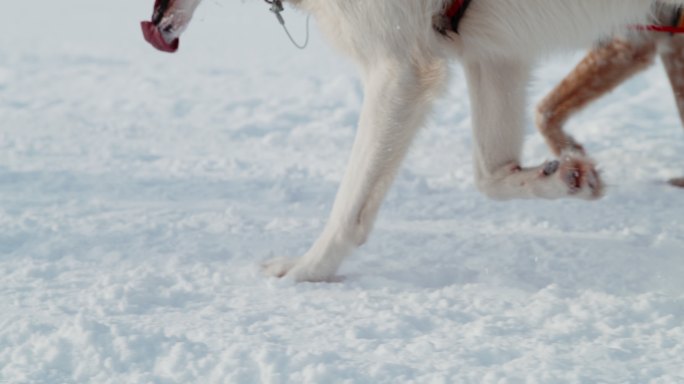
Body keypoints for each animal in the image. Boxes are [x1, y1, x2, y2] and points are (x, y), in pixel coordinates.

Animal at [142, 0, 676, 282]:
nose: (147, 27)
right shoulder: (495, 54)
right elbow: (491, 176)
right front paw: (562, 176)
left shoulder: (398, 69)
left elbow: (348, 209)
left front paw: (305, 272)